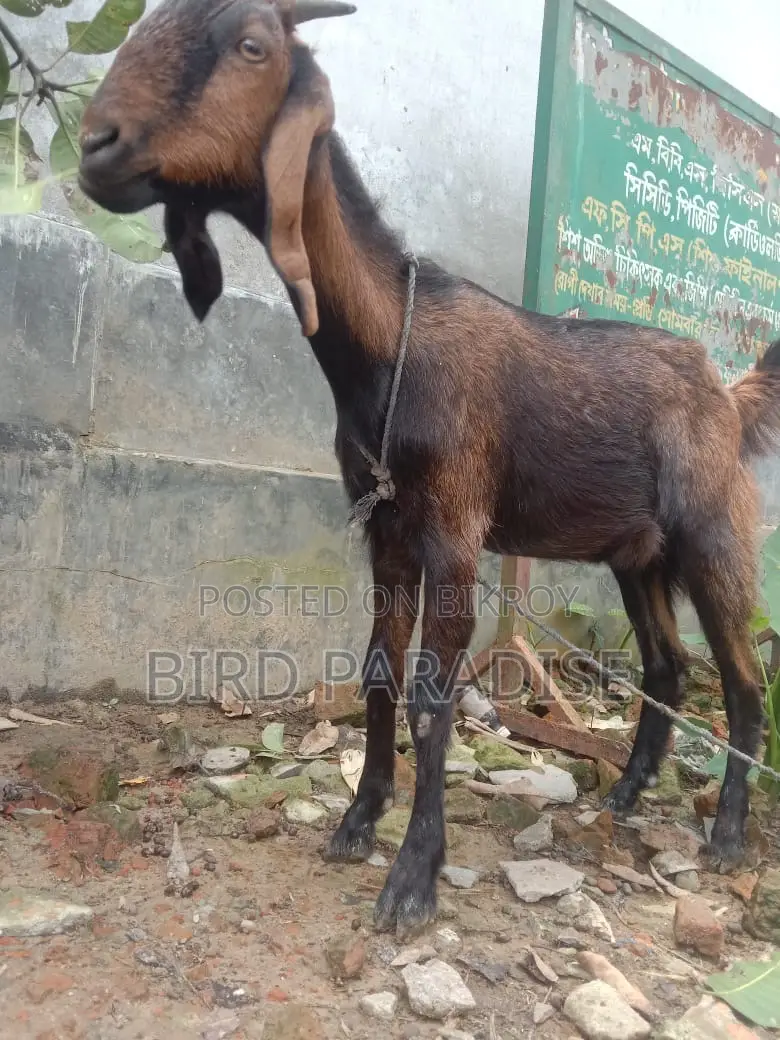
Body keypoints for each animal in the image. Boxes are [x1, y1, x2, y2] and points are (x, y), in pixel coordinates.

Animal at [78, 0, 780, 937]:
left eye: (253, 44)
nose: (96, 142)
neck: (388, 347)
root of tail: (728, 395)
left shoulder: (454, 522)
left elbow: (431, 694)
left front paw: (415, 875)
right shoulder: (384, 525)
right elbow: (379, 673)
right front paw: (358, 820)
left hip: (713, 535)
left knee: (740, 677)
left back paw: (729, 834)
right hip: (638, 554)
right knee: (668, 665)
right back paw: (626, 794)